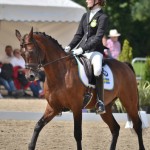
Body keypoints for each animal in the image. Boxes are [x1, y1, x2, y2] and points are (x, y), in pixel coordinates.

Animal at [15, 28, 145, 150]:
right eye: (21, 54)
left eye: (31, 51)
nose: (30, 76)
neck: (61, 74)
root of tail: (125, 65)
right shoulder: (53, 107)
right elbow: (38, 125)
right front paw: (31, 145)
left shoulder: (76, 107)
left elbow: (77, 134)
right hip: (107, 108)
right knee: (115, 128)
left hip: (129, 102)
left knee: (137, 125)